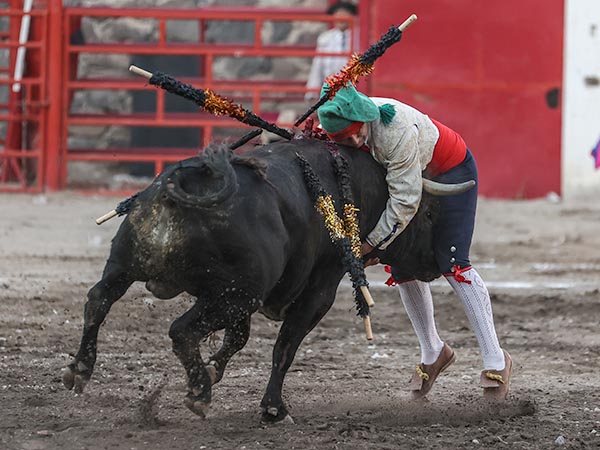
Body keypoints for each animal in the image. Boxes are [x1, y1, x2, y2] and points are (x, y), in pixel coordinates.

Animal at [63, 137, 446, 422]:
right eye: (428, 214)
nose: (435, 265)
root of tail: (191, 181)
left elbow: (239, 337)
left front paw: (214, 368)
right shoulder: (317, 293)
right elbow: (284, 347)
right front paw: (273, 409)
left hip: (127, 267)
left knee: (98, 300)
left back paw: (80, 369)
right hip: (235, 295)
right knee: (181, 330)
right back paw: (199, 392)